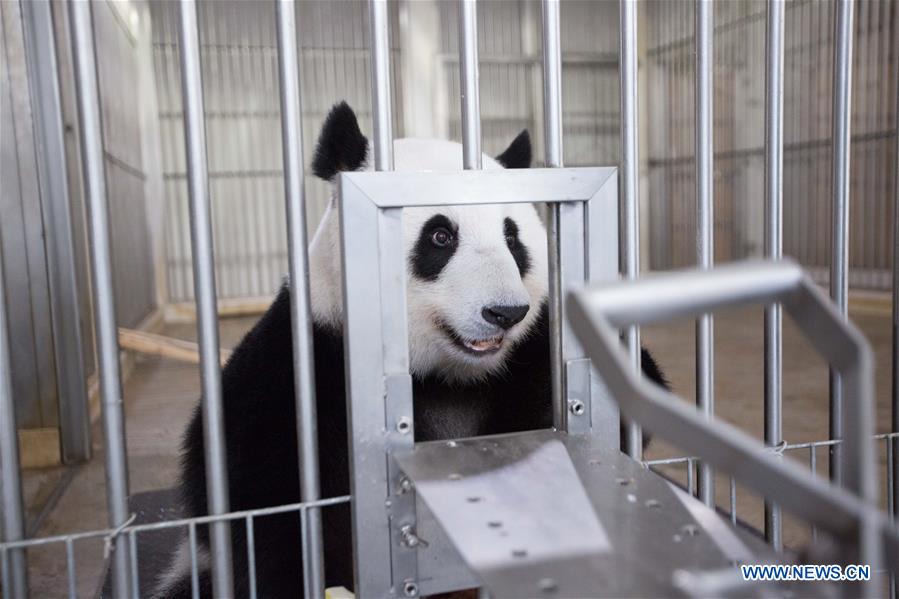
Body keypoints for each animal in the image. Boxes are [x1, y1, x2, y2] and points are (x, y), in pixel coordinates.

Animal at [155, 102, 667, 598]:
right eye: (440, 236)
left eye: (512, 237)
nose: (505, 312)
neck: (444, 373)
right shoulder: (303, 362)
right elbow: (260, 503)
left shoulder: (531, 347)